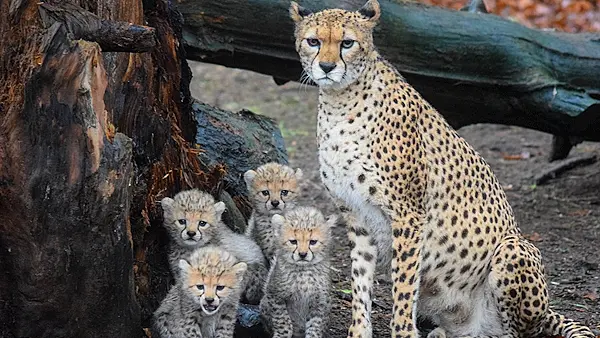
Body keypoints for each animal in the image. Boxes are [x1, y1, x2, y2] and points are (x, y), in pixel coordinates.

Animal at [290, 0, 596, 338]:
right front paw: (359, 331)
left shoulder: (409, 215)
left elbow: (403, 284)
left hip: (513, 248)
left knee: (521, 332)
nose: (327, 67)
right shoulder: (357, 216)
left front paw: (402, 332)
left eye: (347, 43)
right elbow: (360, 281)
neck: (340, 101)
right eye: (313, 41)